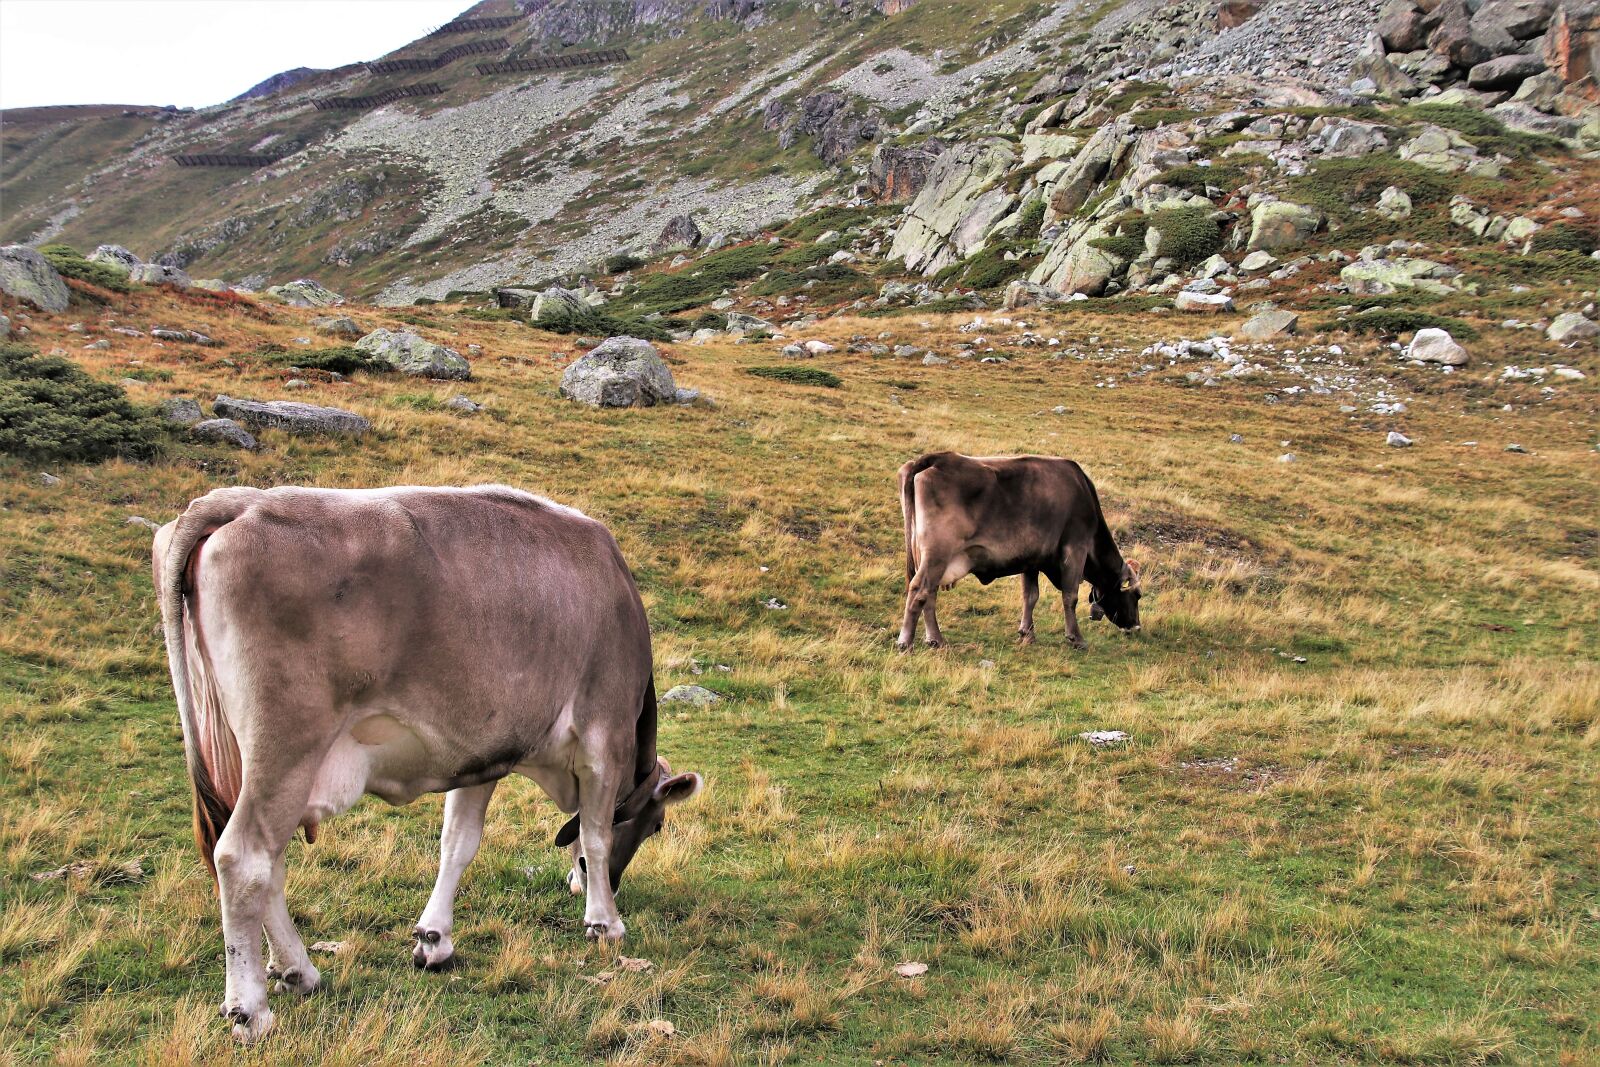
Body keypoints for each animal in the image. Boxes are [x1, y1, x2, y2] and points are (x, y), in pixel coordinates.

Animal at [153, 485, 703, 1044]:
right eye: (656, 825)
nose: (603, 884)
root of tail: (242, 501)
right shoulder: (602, 737)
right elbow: (595, 834)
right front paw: (604, 922)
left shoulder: (482, 756)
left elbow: (457, 844)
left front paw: (434, 939)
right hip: (286, 749)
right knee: (243, 858)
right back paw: (250, 1008)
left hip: (250, 760)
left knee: (269, 865)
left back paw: (297, 971)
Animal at [896, 452, 1142, 651]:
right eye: (1137, 595)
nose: (1136, 627)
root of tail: (936, 458)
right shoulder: (1075, 547)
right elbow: (1070, 596)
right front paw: (1076, 638)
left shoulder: (1031, 559)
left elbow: (1030, 596)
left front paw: (1027, 634)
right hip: (937, 554)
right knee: (919, 590)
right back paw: (906, 642)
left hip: (929, 558)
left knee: (929, 594)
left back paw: (935, 639)